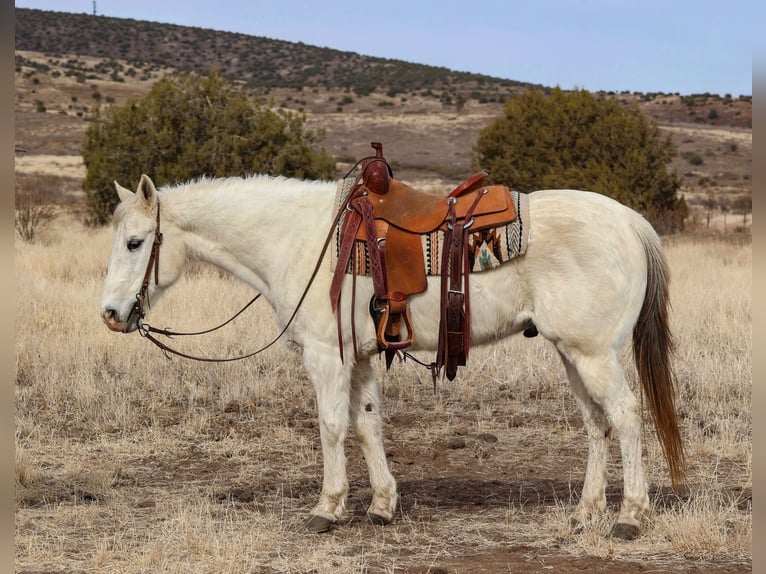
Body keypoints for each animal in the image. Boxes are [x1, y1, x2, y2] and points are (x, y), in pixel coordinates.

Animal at [100, 173, 684, 544]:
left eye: (134, 243)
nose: (110, 313)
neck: (298, 240)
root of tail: (628, 221)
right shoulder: (358, 358)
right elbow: (367, 425)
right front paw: (381, 505)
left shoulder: (326, 357)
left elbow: (332, 426)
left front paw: (327, 508)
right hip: (573, 353)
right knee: (596, 424)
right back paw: (586, 513)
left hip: (594, 354)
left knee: (626, 416)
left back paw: (630, 517)